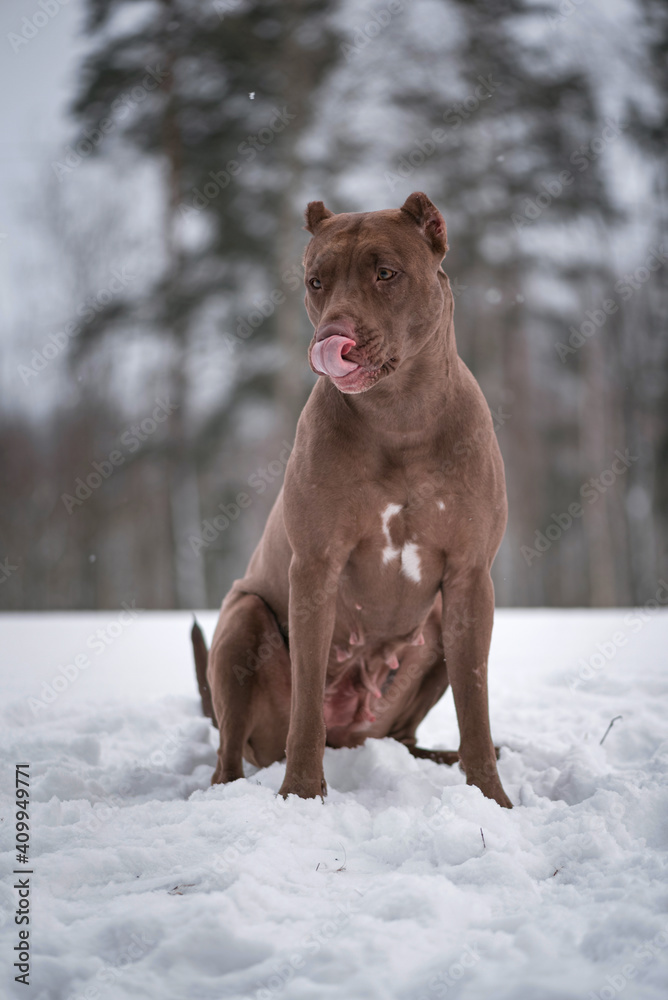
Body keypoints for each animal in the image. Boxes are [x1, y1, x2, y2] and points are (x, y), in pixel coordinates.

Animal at [193, 191, 512, 808]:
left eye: (386, 273)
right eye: (316, 282)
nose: (330, 337)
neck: (401, 415)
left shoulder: (469, 578)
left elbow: (477, 705)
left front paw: (493, 799)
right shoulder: (316, 567)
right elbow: (306, 710)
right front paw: (300, 795)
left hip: (432, 635)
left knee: (406, 735)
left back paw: (438, 757)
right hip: (243, 617)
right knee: (232, 748)